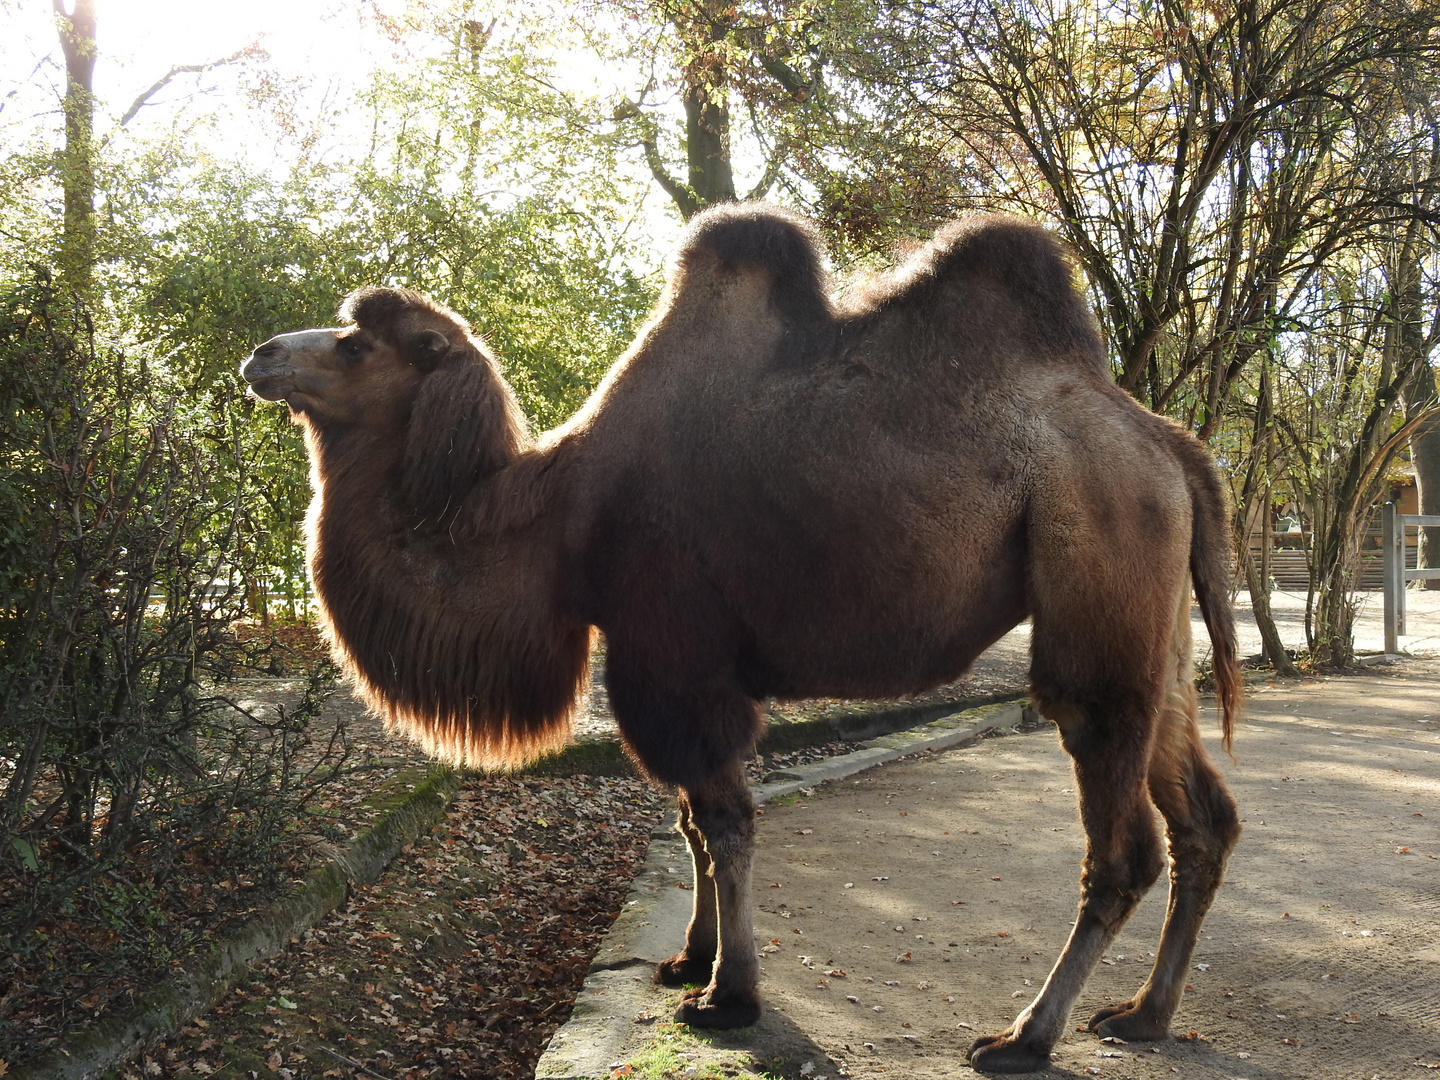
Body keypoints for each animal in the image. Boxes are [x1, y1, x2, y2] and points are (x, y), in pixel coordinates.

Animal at [241, 203, 1244, 1077]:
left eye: (356, 342)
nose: (261, 353)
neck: (559, 516)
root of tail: (1174, 447)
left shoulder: (673, 660)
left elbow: (724, 822)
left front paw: (730, 996)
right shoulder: (672, 667)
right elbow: (690, 820)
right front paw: (690, 959)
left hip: (1097, 577)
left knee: (1121, 832)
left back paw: (1025, 1037)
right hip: (1155, 633)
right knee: (1204, 817)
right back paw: (1144, 1015)